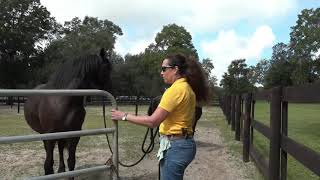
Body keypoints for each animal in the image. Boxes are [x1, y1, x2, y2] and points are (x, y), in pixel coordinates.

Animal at [23, 48, 112, 176]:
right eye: (107, 68)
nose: (111, 90)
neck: (63, 101)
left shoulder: (74, 134)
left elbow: (71, 162)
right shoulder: (50, 135)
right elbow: (48, 163)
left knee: (60, 149)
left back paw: (61, 169)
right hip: (45, 133)